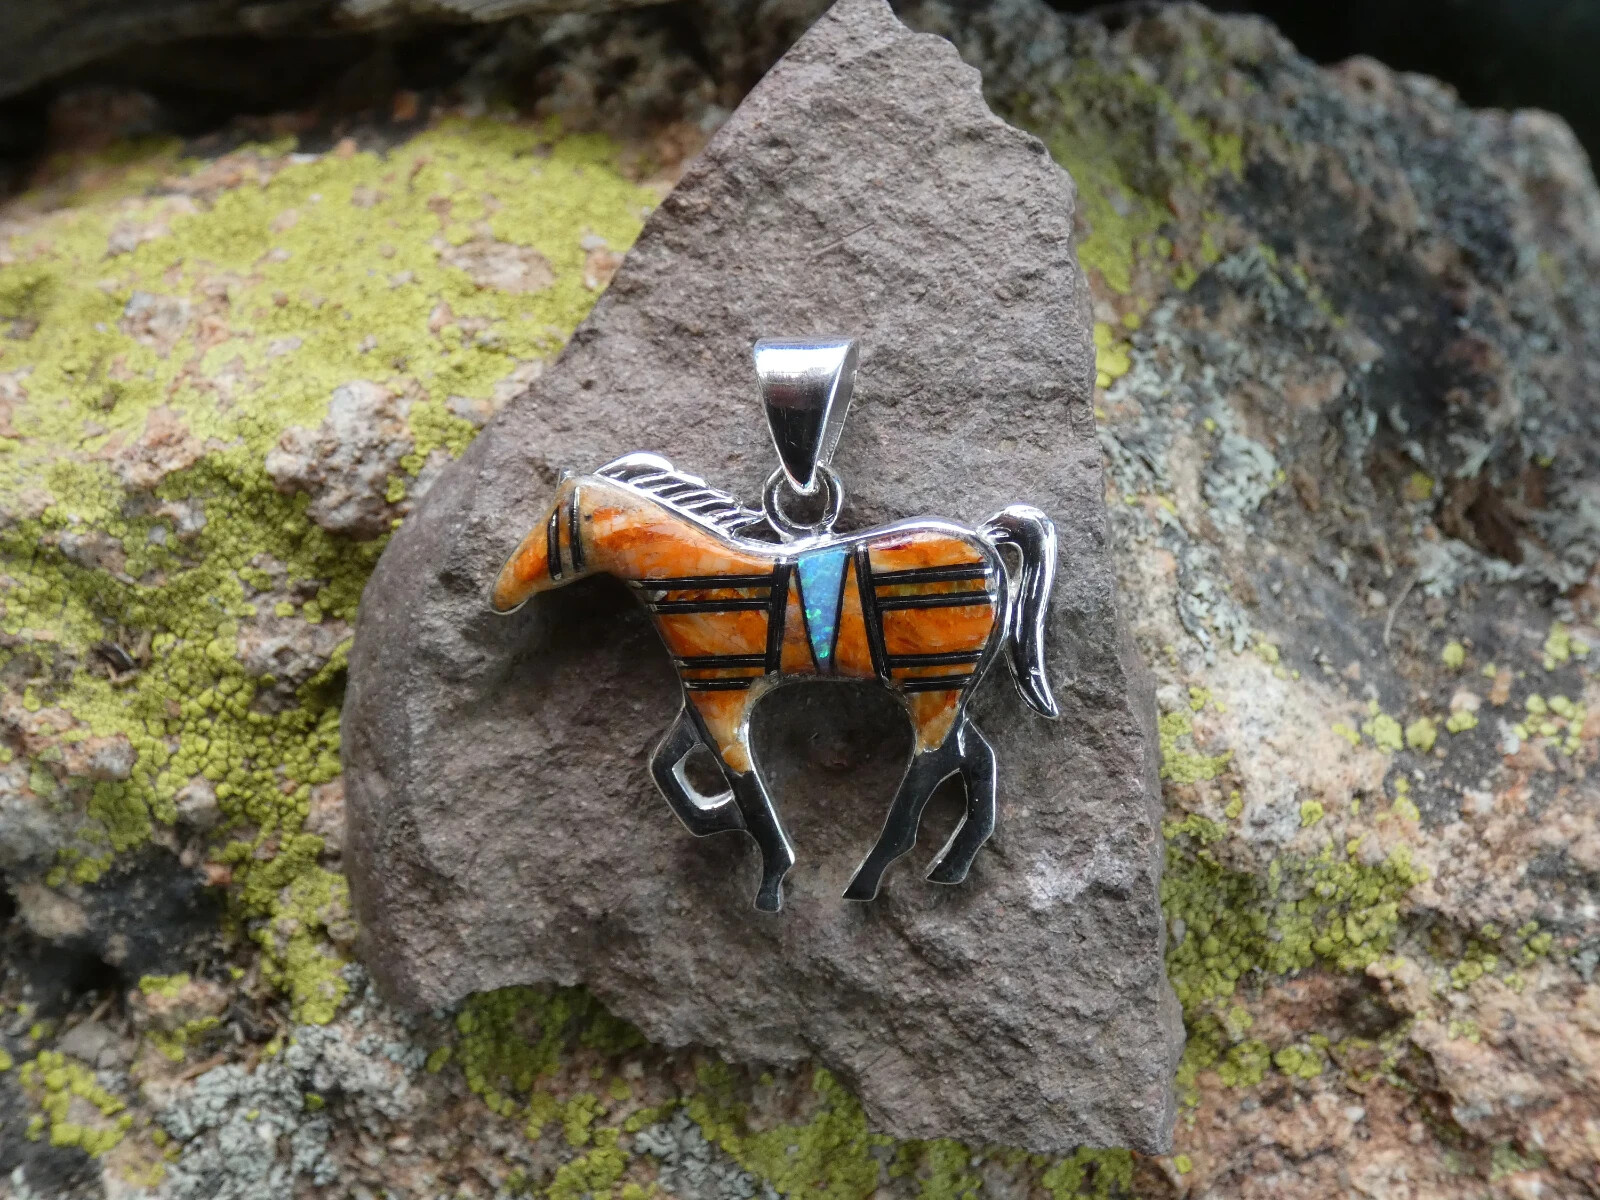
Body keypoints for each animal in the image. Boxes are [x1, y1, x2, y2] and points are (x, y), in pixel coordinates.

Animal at [490, 451, 1059, 912]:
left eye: (552, 523)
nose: (499, 596)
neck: (691, 574)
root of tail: (987, 540)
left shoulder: (721, 706)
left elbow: (746, 788)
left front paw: (770, 876)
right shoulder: (704, 694)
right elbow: (666, 768)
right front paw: (715, 815)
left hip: (932, 690)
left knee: (931, 769)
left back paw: (869, 878)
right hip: (949, 691)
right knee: (977, 759)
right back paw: (949, 866)